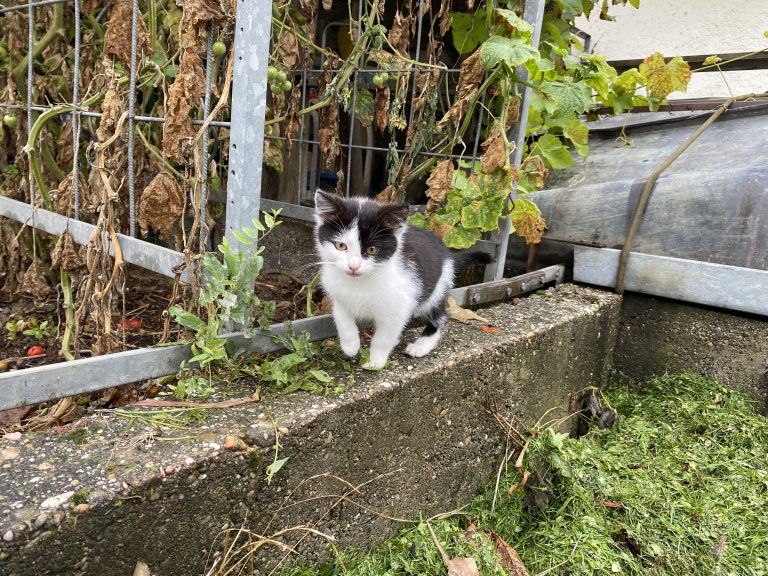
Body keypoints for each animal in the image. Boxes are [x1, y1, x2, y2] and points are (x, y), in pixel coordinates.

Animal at [314, 189, 493, 369]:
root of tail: (448, 255)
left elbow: (384, 337)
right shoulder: (338, 295)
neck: (360, 282)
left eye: (372, 250)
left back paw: (421, 346)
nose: (353, 266)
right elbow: (343, 319)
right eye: (341, 246)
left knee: (440, 317)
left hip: (436, 288)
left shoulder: (400, 303)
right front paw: (350, 346)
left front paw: (376, 361)